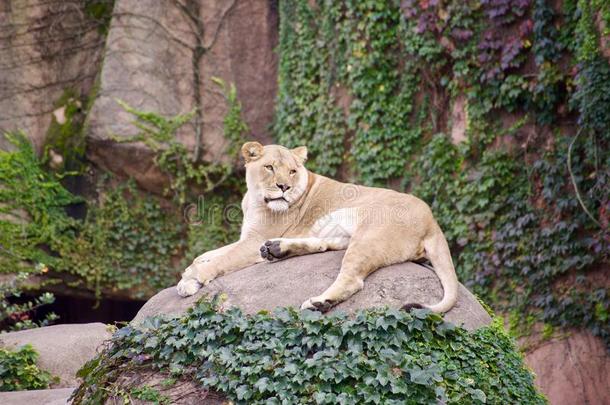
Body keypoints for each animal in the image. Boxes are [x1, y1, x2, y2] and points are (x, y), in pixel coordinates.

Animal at [176, 142, 456, 312]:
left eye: (292, 171)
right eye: (269, 167)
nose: (284, 187)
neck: (255, 199)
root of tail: (432, 221)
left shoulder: (253, 240)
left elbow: (221, 260)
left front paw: (192, 280)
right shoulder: (249, 237)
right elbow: (205, 255)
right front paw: (188, 273)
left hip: (368, 236)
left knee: (352, 279)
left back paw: (319, 302)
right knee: (323, 245)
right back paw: (276, 250)